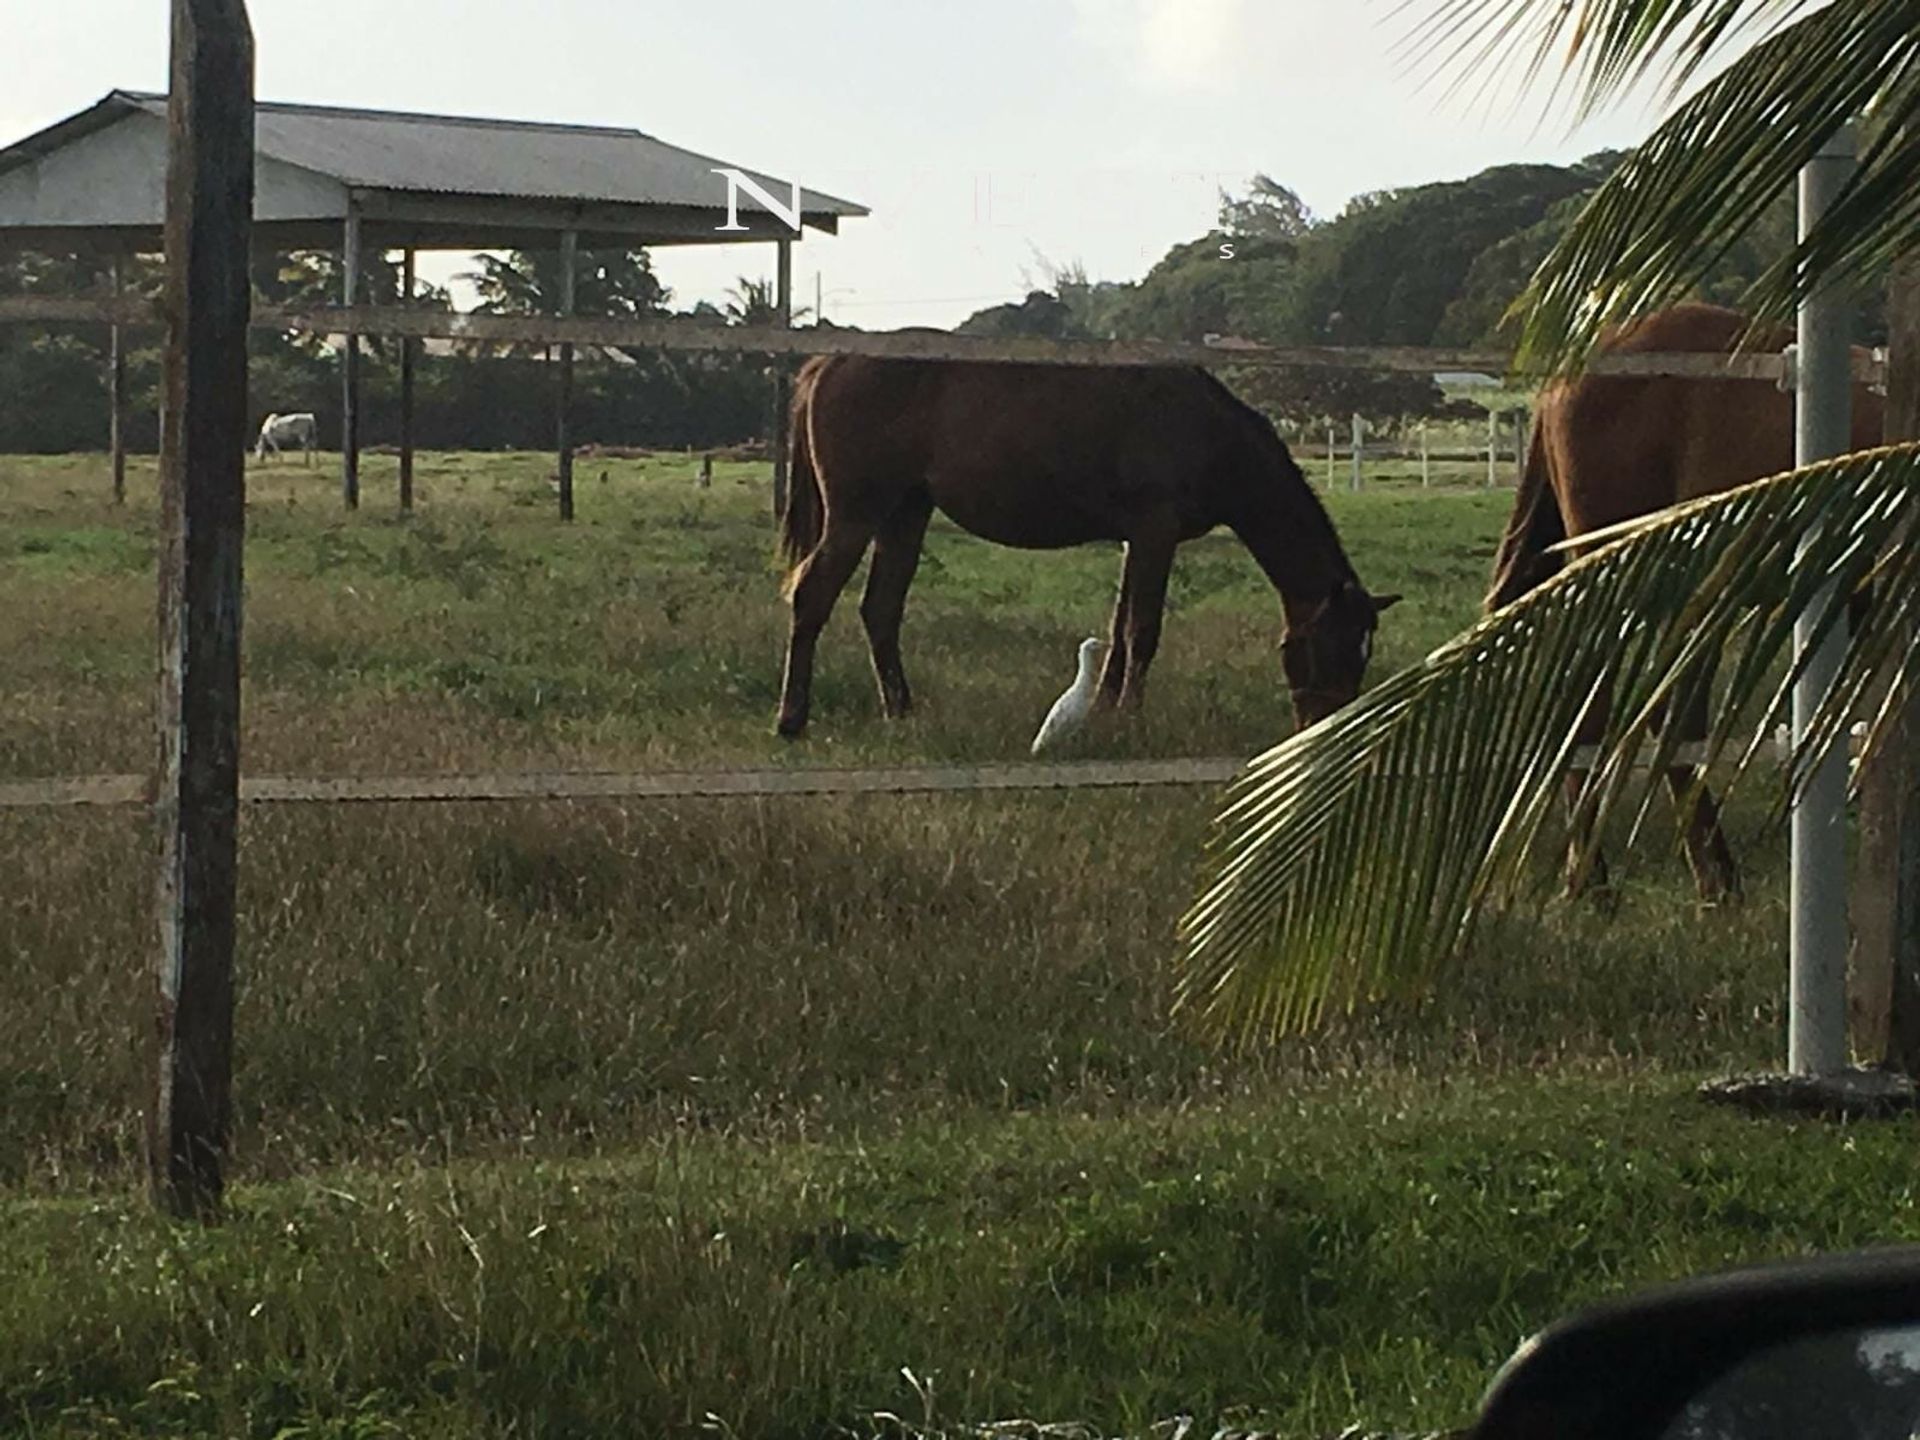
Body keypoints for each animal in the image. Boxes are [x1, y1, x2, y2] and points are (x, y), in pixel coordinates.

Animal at [771, 359, 1405, 744]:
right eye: (1336, 648)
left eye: (1364, 651)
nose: (1324, 728)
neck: (1210, 433)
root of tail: (829, 363)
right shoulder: (1154, 531)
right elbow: (1142, 631)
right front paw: (1128, 718)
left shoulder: (1137, 539)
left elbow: (1120, 629)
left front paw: (1102, 713)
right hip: (858, 516)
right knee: (813, 598)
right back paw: (792, 720)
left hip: (905, 514)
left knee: (881, 609)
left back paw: (901, 711)